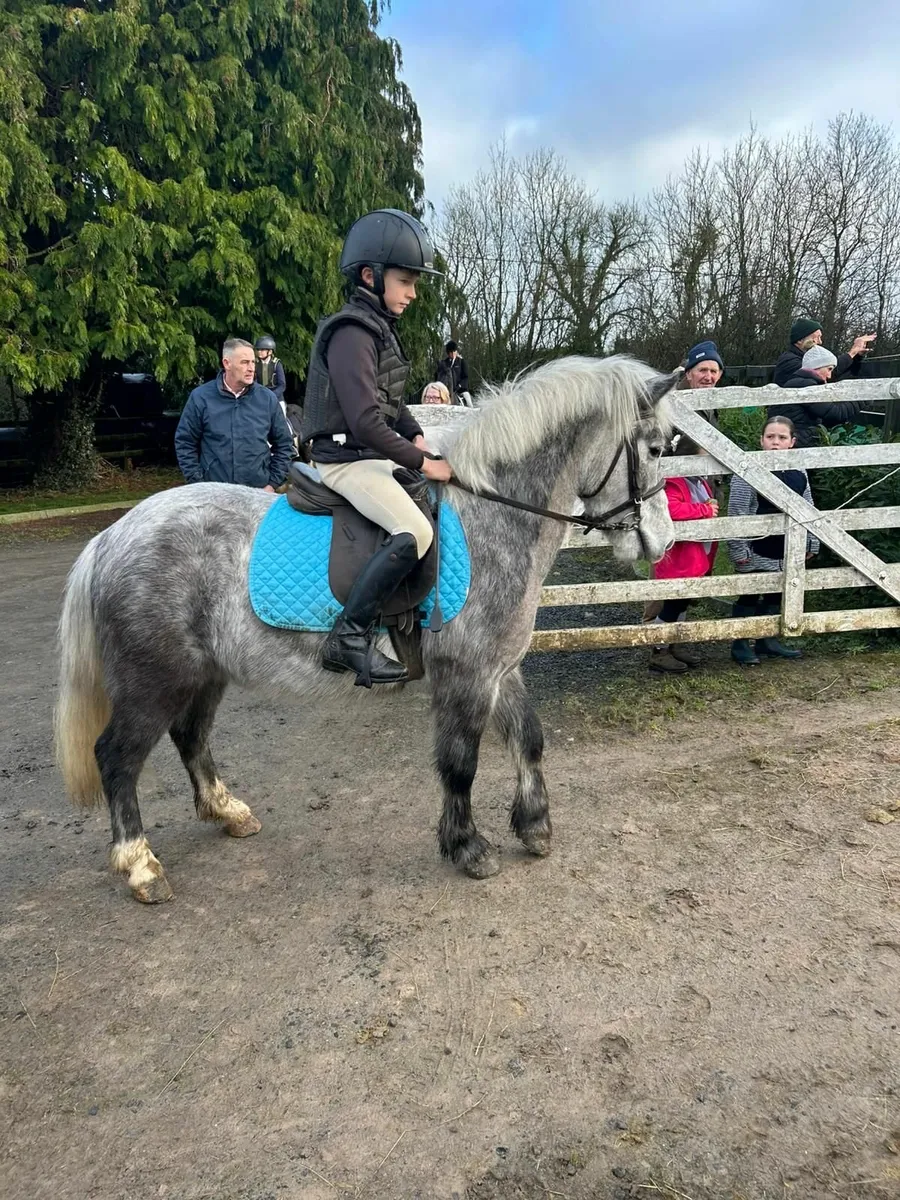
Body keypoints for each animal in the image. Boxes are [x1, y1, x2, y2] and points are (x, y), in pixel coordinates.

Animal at [55, 356, 678, 903]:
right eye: (654, 449)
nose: (664, 542)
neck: (492, 517)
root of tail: (112, 536)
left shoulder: (499, 666)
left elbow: (529, 738)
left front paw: (535, 827)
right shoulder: (466, 673)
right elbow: (460, 762)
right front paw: (467, 847)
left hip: (203, 672)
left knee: (190, 736)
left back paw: (228, 812)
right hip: (153, 679)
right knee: (116, 758)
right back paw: (140, 867)